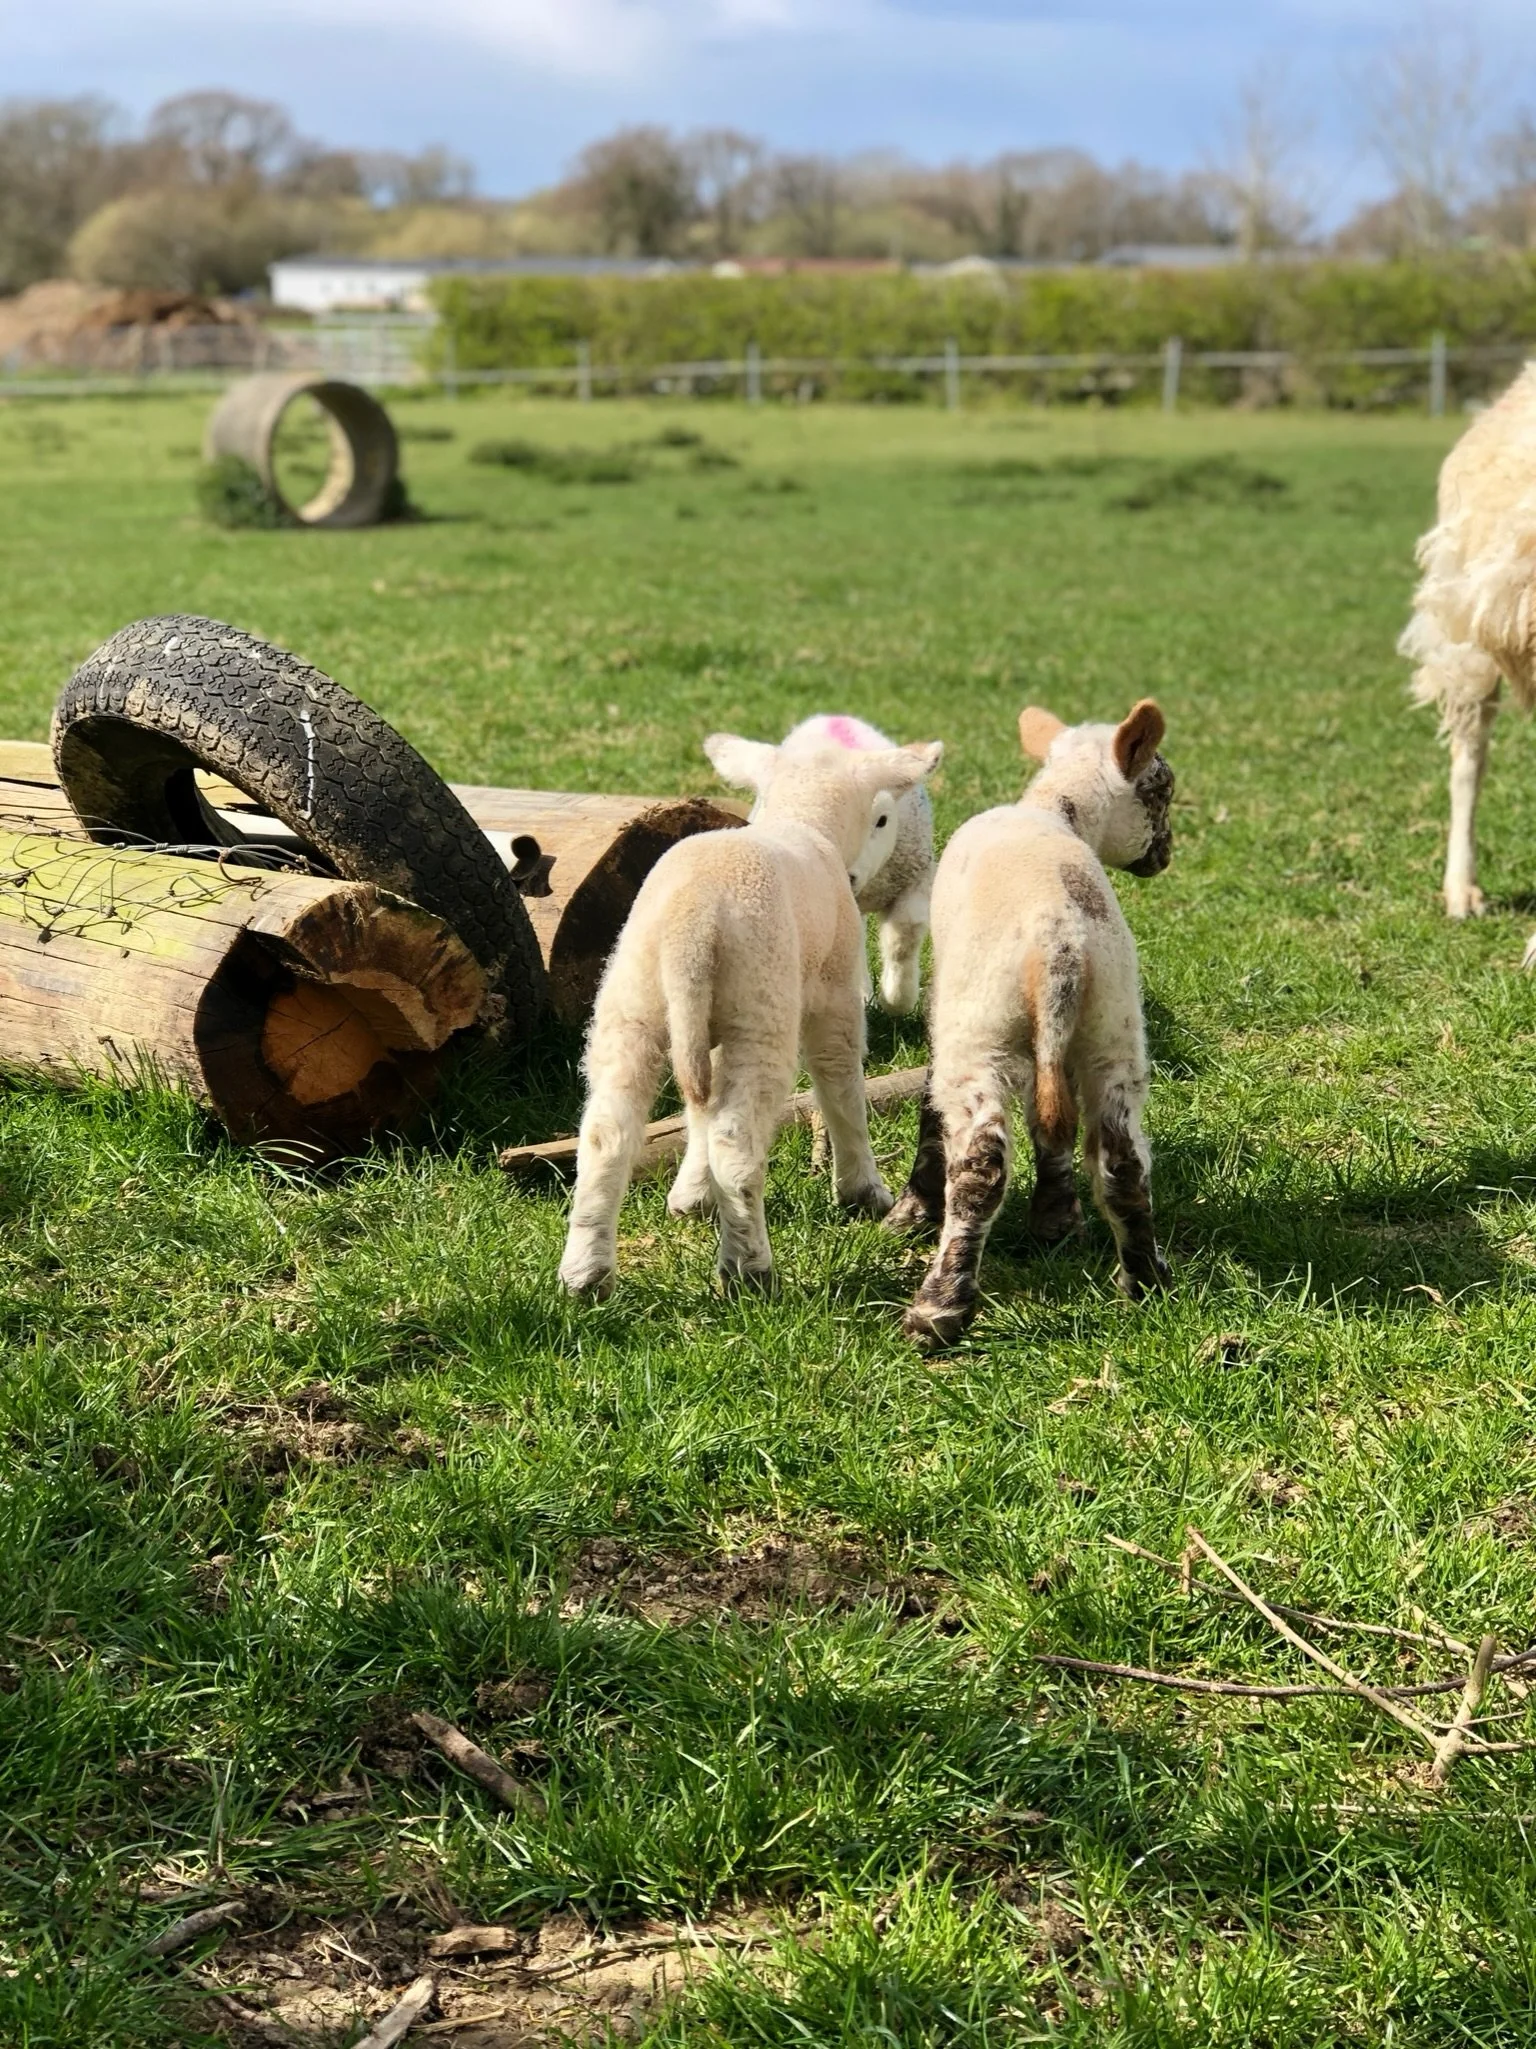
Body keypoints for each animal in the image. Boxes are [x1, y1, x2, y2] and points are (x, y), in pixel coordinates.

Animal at [779, 714, 935, 1012]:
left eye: (882, 820)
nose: (847, 875)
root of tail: (829, 717)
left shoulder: (917, 879)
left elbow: (903, 936)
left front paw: (897, 1000)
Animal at [886, 699, 1174, 1350]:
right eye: (1162, 790)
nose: (1167, 854)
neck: (1051, 811)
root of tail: (1059, 942)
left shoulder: (948, 1009)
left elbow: (929, 1107)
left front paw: (913, 1208)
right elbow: (1054, 1129)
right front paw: (1057, 1220)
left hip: (982, 1031)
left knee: (980, 1167)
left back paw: (938, 1309)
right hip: (1112, 1029)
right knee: (1123, 1160)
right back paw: (1145, 1280)